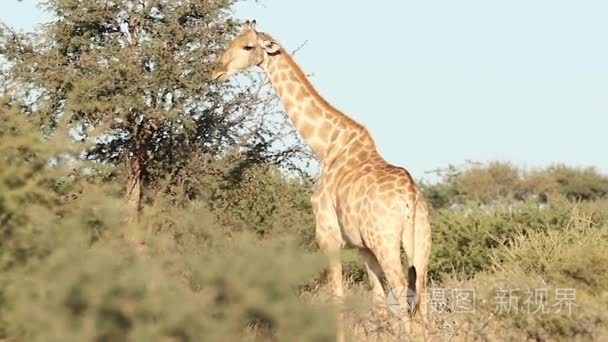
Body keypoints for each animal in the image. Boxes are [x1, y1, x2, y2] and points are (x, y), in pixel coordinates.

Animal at [213, 21, 432, 340]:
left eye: (248, 46)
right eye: (232, 41)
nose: (216, 70)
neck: (328, 147)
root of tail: (411, 197)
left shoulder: (327, 236)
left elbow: (338, 296)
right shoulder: (364, 248)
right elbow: (377, 302)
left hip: (387, 241)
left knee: (403, 289)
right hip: (420, 240)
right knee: (422, 292)